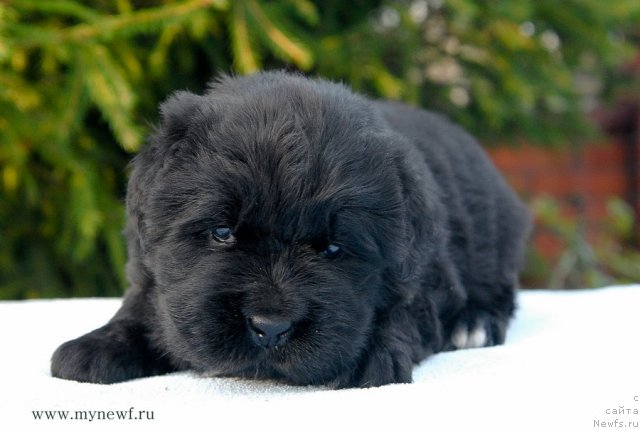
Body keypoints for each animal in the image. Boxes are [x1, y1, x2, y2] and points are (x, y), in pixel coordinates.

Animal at [50, 71, 528, 390]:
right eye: (222, 232)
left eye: (333, 249)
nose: (271, 328)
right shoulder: (151, 271)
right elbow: (142, 304)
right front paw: (98, 345)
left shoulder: (426, 275)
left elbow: (406, 312)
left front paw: (372, 354)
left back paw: (475, 322)